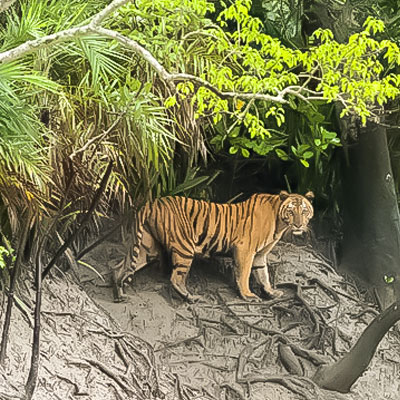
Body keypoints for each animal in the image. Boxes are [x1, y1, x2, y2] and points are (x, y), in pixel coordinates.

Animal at [111, 191, 314, 304]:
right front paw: (248, 295)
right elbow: (244, 274)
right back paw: (190, 298)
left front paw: (271, 292)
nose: (298, 225)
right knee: (176, 278)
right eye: (291, 211)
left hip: (146, 248)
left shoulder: (259, 255)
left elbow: (263, 274)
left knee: (120, 267)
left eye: (304, 211)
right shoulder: (245, 250)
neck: (279, 223)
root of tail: (151, 203)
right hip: (185, 247)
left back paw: (119, 294)